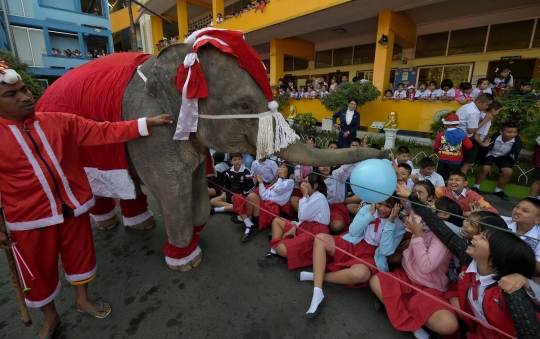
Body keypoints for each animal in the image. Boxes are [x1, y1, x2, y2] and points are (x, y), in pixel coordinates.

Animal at [35, 32, 386, 270]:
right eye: (242, 105)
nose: (383, 156)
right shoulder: (153, 125)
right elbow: (170, 187)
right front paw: (186, 259)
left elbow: (194, 182)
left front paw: (198, 230)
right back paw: (110, 224)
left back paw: (140, 224)